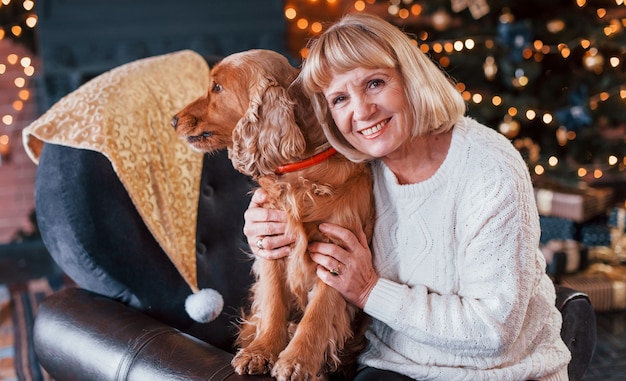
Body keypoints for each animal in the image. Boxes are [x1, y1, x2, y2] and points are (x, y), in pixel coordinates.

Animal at [171, 49, 370, 378]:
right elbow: (274, 301)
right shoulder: (271, 244)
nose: (174, 119)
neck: (302, 173)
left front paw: (297, 361)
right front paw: (261, 351)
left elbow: (318, 313)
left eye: (217, 88)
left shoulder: (338, 251)